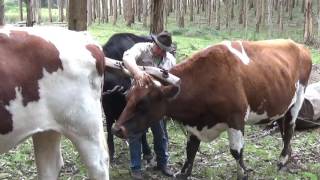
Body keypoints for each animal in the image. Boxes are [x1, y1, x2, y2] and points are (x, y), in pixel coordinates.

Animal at [111, 39, 312, 179]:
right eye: (127, 97)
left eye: (143, 103)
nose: (116, 129)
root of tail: (299, 46)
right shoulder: (195, 123)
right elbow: (191, 150)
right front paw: (183, 173)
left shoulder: (236, 119)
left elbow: (236, 151)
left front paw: (243, 173)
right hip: (281, 104)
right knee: (283, 128)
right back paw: (287, 155)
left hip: (298, 99)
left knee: (290, 129)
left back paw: (282, 160)